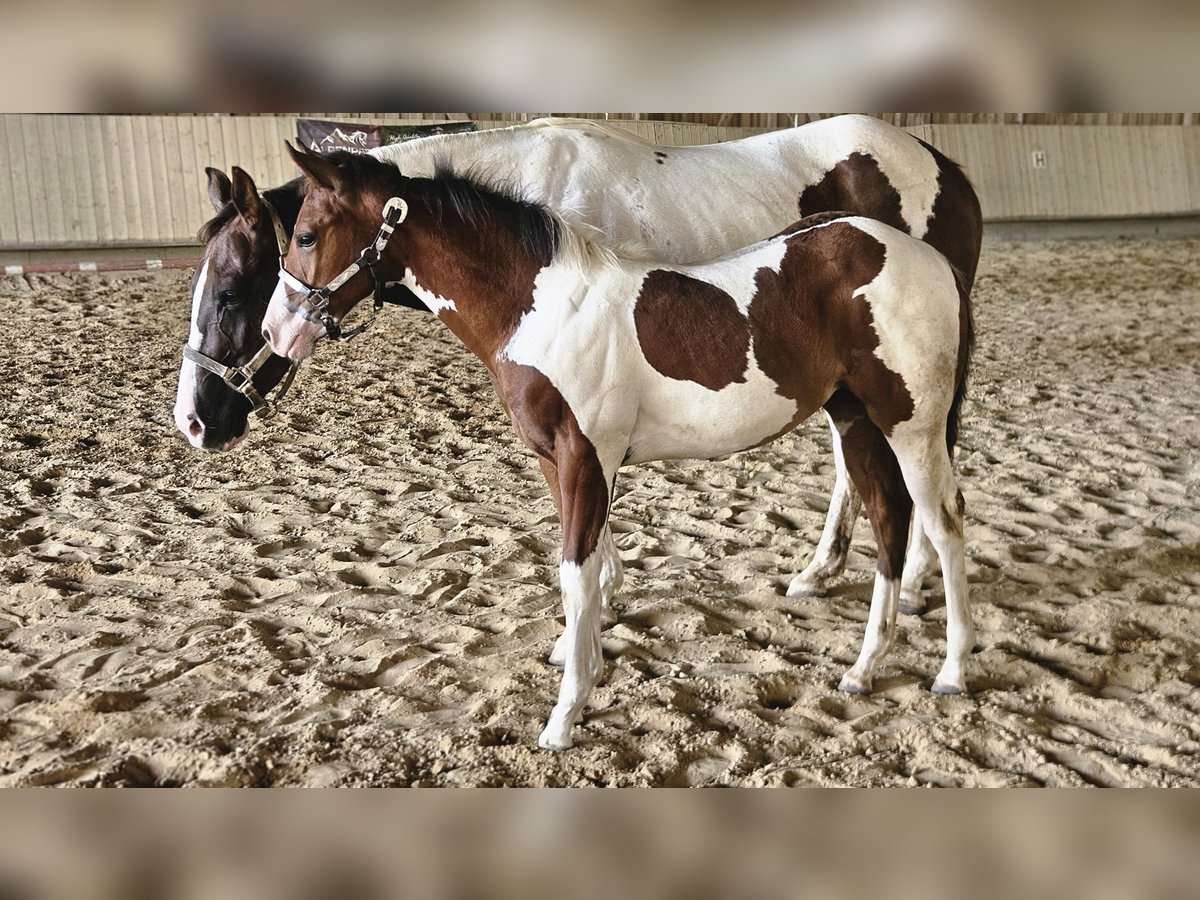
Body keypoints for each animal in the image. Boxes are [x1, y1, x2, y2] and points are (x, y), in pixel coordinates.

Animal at [260, 146, 976, 751]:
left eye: (305, 235)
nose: (275, 334)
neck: (542, 308)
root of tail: (928, 259)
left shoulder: (584, 457)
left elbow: (577, 572)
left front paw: (564, 714)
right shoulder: (560, 461)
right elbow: (589, 565)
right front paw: (583, 660)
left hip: (910, 424)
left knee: (943, 524)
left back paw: (951, 670)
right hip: (856, 420)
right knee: (889, 520)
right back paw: (863, 668)